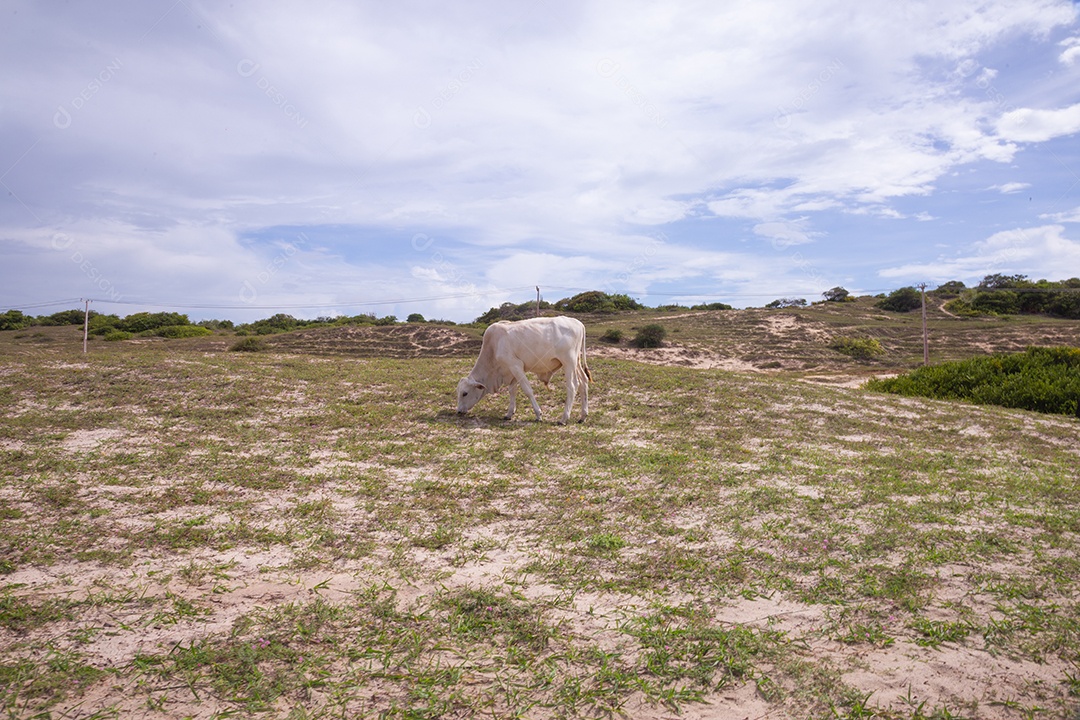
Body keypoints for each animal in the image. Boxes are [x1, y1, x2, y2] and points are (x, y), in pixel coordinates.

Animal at [456, 316, 591, 424]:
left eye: (465, 393)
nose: (458, 411)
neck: (494, 346)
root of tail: (577, 323)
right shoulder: (514, 370)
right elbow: (512, 390)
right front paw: (509, 413)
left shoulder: (515, 365)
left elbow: (527, 390)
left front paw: (538, 414)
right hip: (577, 363)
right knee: (583, 383)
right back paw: (583, 416)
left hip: (568, 363)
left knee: (572, 386)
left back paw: (564, 418)